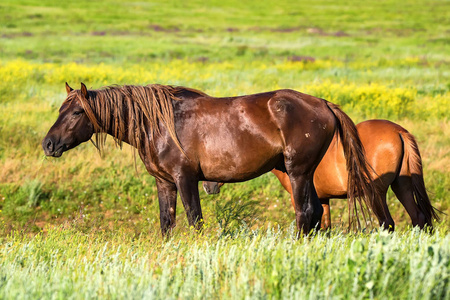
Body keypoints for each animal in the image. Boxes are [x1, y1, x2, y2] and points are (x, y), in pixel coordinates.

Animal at [43, 83, 380, 236]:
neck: (159, 123)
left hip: (298, 173)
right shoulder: (164, 183)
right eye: (60, 109)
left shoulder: (185, 179)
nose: (48, 144)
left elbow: (195, 220)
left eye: (77, 112)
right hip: (304, 174)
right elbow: (167, 222)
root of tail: (322, 103)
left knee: (305, 212)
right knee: (315, 214)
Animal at [205, 119, 440, 230]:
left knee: (387, 223)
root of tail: (398, 131)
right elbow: (325, 227)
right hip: (402, 187)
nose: (208, 186)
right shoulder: (324, 199)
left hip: (377, 194)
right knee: (419, 218)